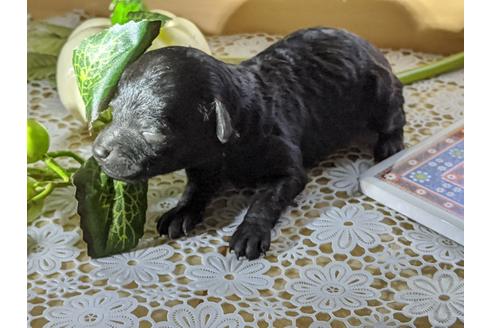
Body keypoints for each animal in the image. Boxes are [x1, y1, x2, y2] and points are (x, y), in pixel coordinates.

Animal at [92, 26, 404, 260]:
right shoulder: (202, 165)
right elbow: (194, 188)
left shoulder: (287, 167)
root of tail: (369, 45)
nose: (97, 151)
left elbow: (265, 199)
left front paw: (249, 233)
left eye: (151, 132)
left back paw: (390, 146)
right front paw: (181, 211)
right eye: (113, 111)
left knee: (395, 116)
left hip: (381, 91)